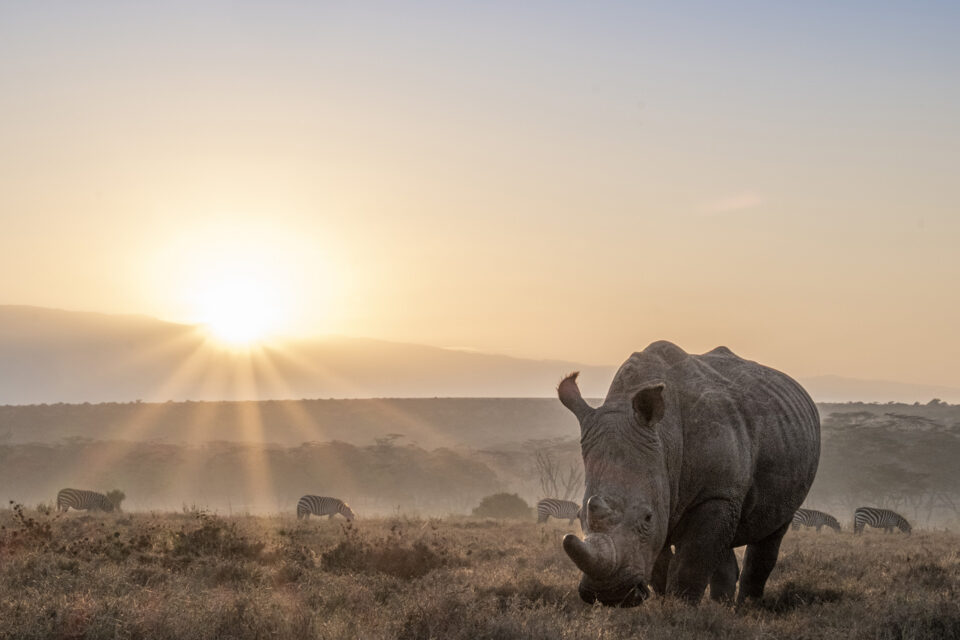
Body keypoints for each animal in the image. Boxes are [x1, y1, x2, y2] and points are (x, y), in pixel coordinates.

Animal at [558, 341, 820, 606]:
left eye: (647, 517)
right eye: (579, 516)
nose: (609, 595)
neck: (665, 441)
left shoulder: (714, 493)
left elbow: (691, 562)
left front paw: (680, 608)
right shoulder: (667, 491)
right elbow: (662, 564)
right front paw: (664, 603)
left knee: (771, 533)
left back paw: (746, 608)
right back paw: (720, 607)